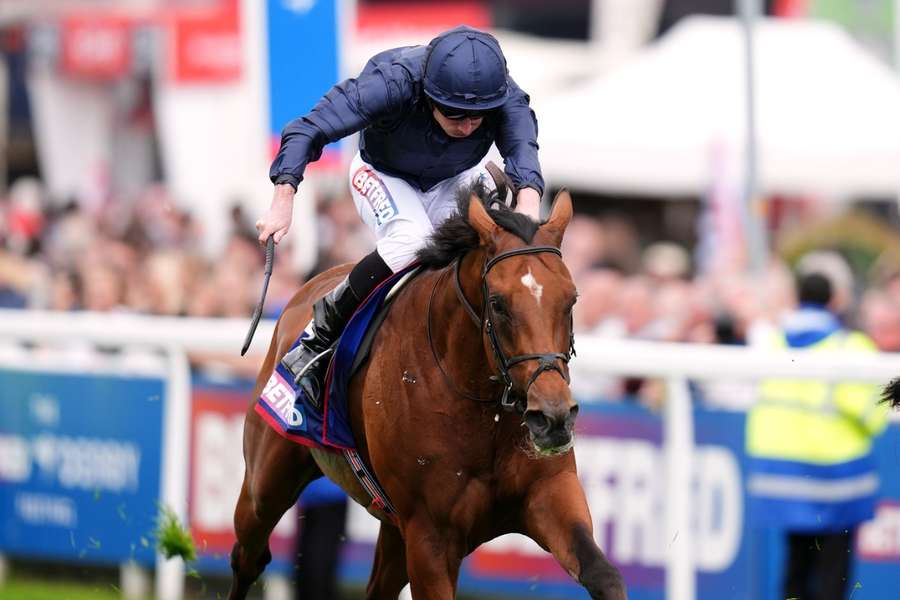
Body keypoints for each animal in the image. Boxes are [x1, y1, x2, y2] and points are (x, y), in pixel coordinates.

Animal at [229, 188, 628, 600]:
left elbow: (604, 575)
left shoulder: (549, 492)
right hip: (266, 483)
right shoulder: (430, 534)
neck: (481, 406)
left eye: (572, 300)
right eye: (498, 303)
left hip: (392, 526)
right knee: (249, 556)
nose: (552, 416)